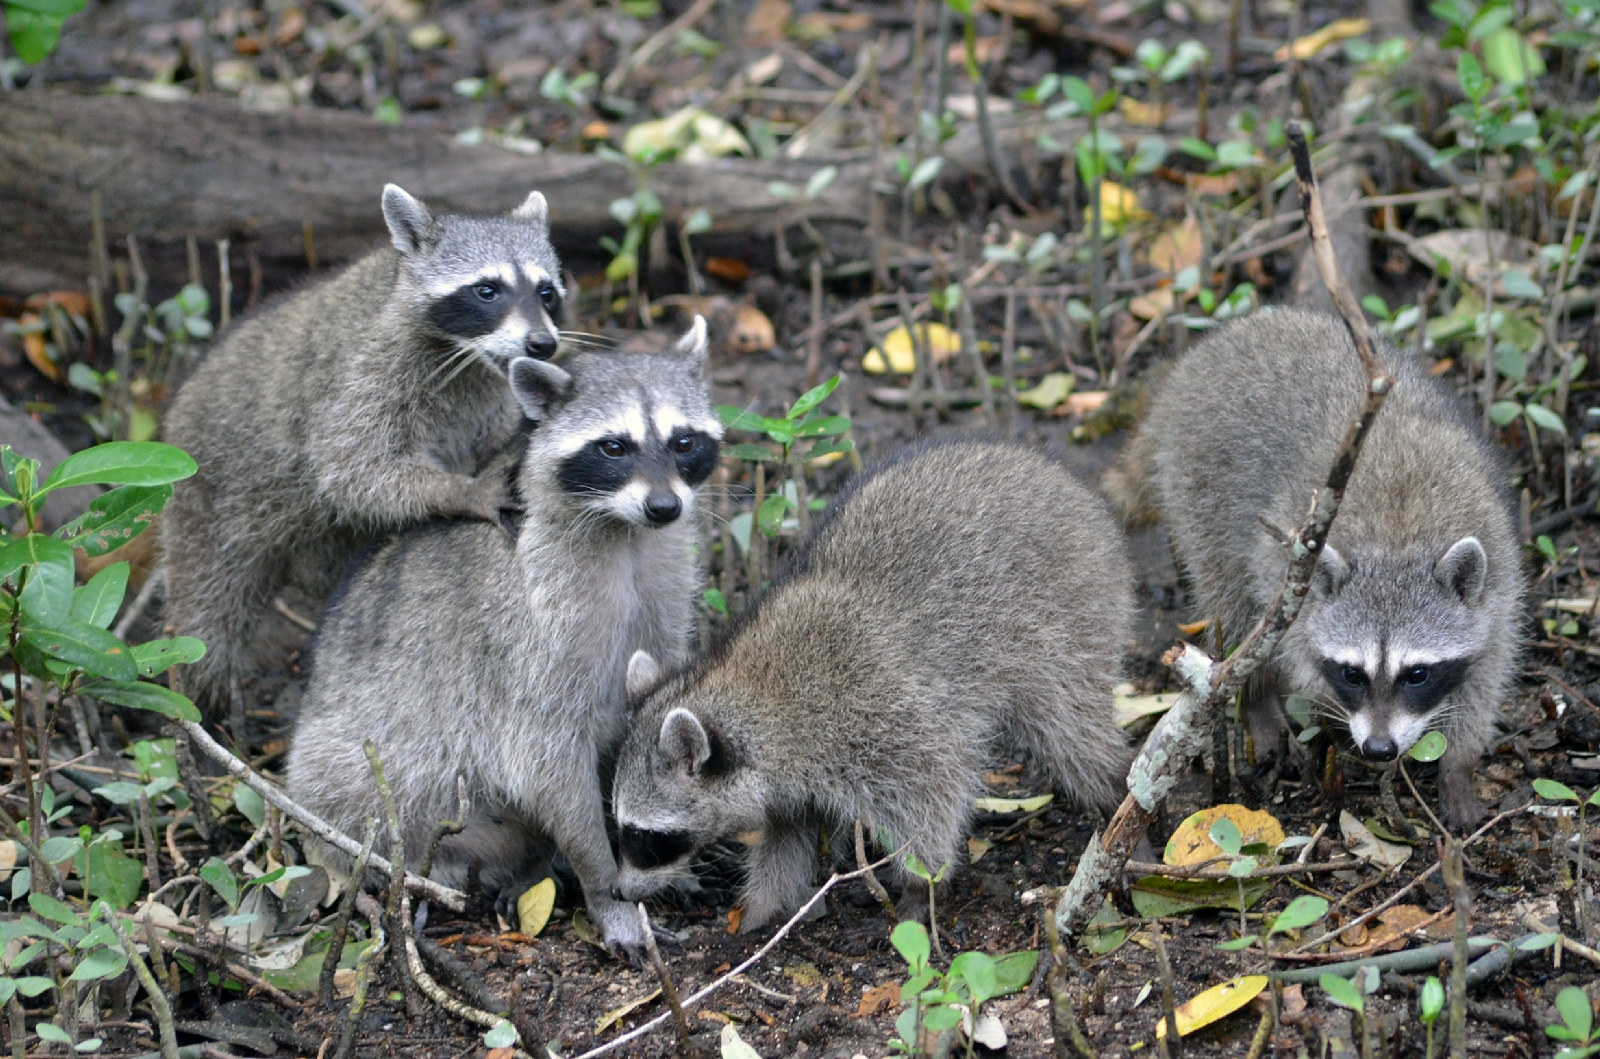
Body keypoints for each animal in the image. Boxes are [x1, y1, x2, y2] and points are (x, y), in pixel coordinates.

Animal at [165, 184, 566, 729]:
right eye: (488, 290)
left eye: (546, 292)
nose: (542, 343)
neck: (463, 352)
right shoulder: (366, 374)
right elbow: (352, 468)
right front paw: (459, 490)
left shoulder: (487, 389)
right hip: (209, 498)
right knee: (205, 618)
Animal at [284, 319, 723, 959]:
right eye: (613, 447)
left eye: (684, 441)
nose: (664, 506)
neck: (628, 533)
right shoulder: (533, 635)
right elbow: (545, 758)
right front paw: (606, 888)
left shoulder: (664, 590)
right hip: (362, 778)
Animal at [604, 444, 1132, 934]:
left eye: (646, 838)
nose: (619, 891)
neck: (744, 690)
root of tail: (1061, 480)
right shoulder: (788, 779)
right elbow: (785, 840)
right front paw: (759, 912)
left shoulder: (876, 715)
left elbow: (934, 790)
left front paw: (922, 885)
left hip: (1067, 620)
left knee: (1071, 732)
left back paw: (1116, 793)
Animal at [1113, 307, 1523, 831]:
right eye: (1353, 673)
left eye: (1417, 674)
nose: (1379, 748)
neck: (1397, 543)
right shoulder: (1284, 563)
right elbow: (1293, 651)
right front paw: (1321, 713)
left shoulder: (1498, 579)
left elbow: (1487, 675)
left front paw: (1458, 765)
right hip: (1200, 494)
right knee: (1233, 608)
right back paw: (1257, 702)